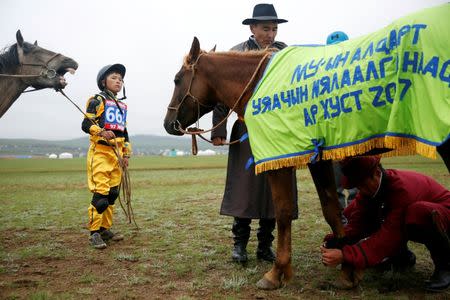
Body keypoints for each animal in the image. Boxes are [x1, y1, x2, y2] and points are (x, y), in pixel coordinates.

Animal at [164, 37, 450, 290]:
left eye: (177, 79)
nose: (168, 124)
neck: (261, 84)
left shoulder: (281, 161)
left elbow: (283, 212)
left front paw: (277, 272)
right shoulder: (319, 160)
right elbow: (332, 209)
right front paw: (347, 269)